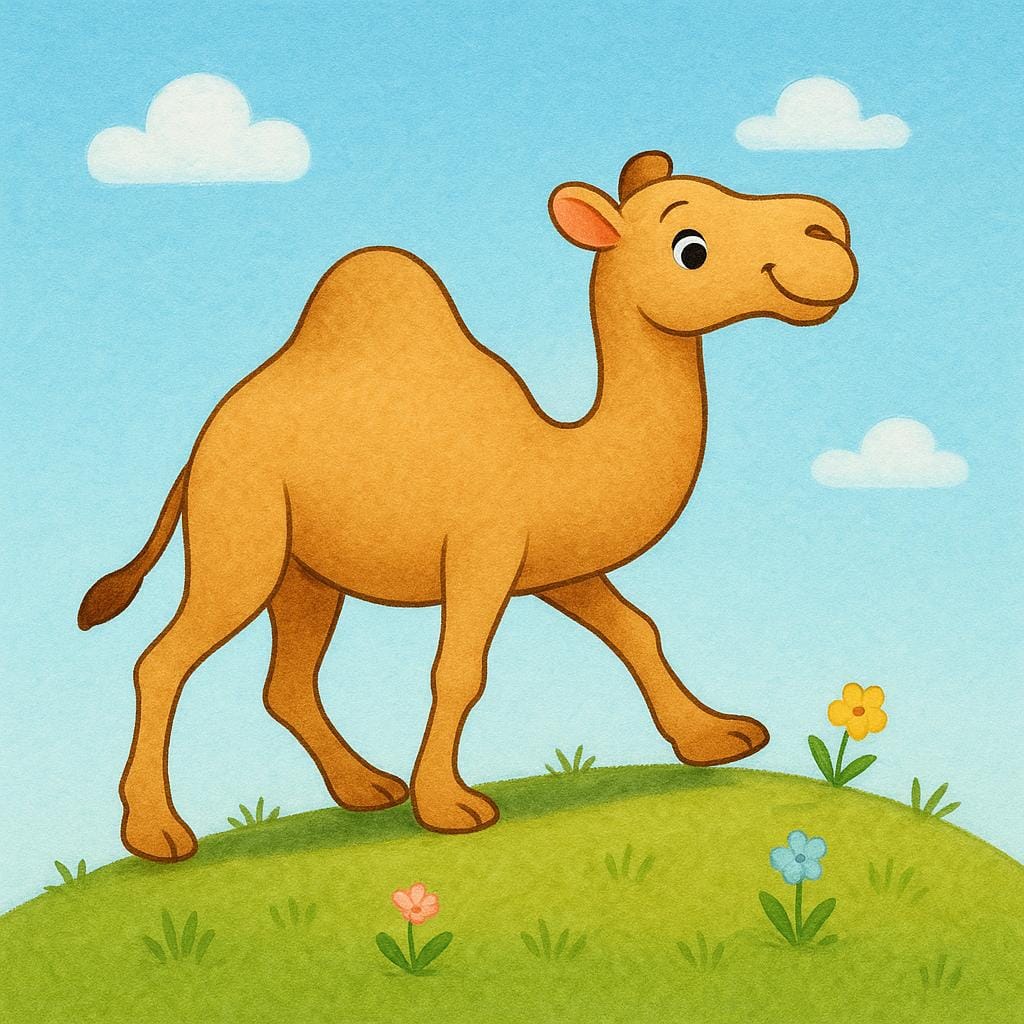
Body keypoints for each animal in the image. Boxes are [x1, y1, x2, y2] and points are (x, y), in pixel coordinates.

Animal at [79, 151, 858, 862]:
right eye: (689, 247)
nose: (830, 230)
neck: (556, 456)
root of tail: (202, 443)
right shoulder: (485, 551)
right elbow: (459, 669)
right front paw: (451, 808)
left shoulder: (553, 560)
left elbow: (637, 629)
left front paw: (717, 737)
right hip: (242, 523)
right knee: (164, 660)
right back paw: (157, 834)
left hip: (305, 569)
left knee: (287, 682)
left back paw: (366, 788)